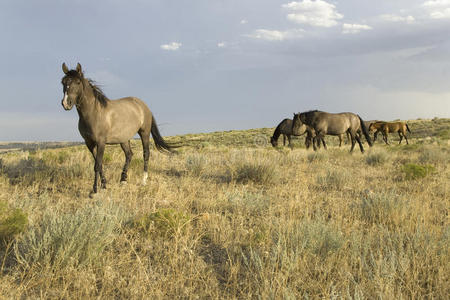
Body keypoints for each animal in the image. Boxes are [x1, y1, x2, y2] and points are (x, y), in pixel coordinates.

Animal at [58, 62, 174, 196]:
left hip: (144, 133)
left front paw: (95, 190)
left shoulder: (101, 142)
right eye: (63, 82)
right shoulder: (89, 144)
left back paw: (144, 181)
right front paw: (104, 185)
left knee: (146, 154)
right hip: (124, 139)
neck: (93, 112)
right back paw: (123, 180)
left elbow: (97, 165)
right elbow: (99, 164)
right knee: (129, 155)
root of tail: (143, 105)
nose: (66, 103)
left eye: (77, 82)